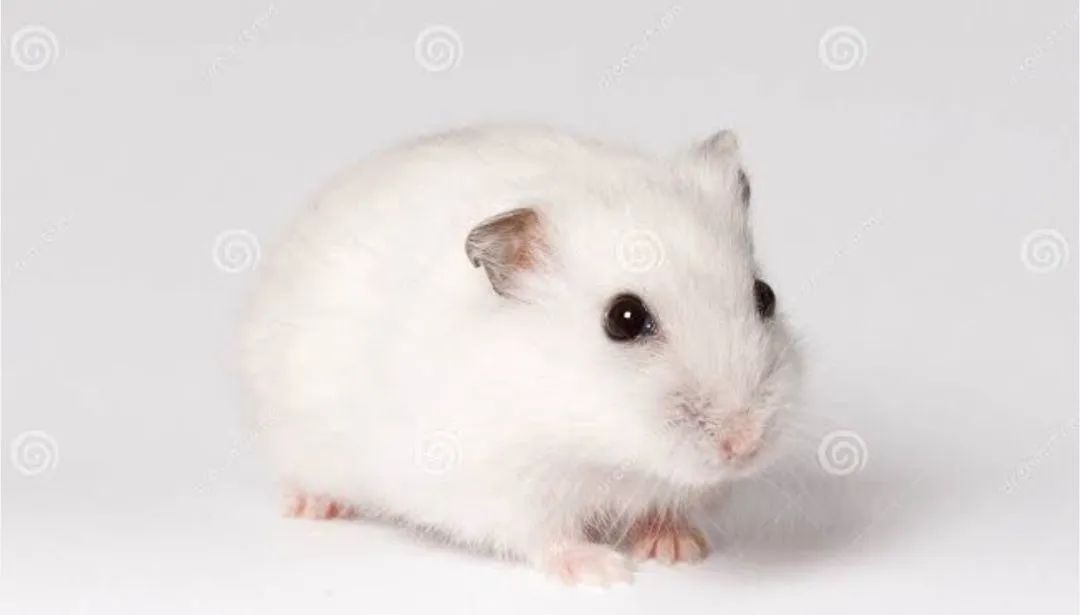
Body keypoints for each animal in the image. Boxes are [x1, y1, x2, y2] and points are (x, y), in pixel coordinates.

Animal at [239, 124, 801, 585]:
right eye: (623, 319)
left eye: (766, 296)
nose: (744, 444)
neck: (597, 444)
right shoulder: (501, 484)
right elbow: (544, 535)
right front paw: (603, 572)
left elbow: (664, 509)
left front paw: (679, 548)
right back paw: (314, 506)